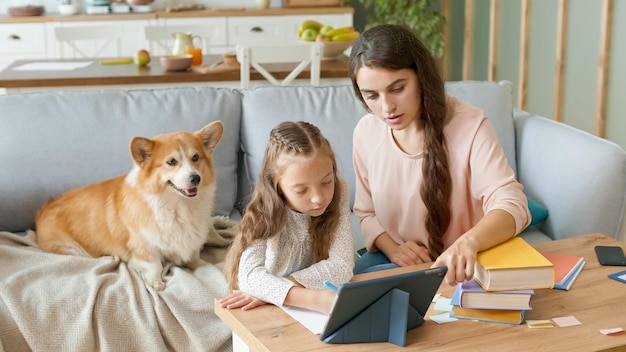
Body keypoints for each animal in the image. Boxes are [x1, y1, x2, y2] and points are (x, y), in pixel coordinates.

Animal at [35, 121, 223, 292]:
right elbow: (154, 265)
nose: (195, 178)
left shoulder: (193, 243)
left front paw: (206, 265)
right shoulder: (143, 247)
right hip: (72, 249)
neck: (179, 205)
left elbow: (195, 259)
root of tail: (44, 208)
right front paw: (156, 282)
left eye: (196, 157)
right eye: (171, 161)